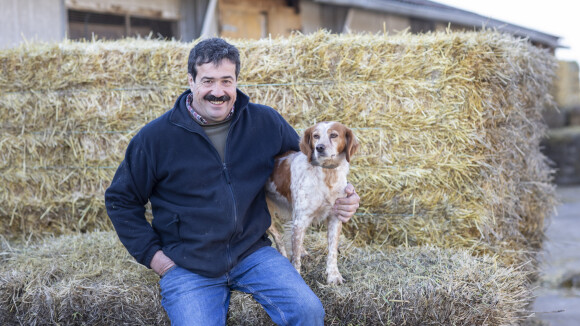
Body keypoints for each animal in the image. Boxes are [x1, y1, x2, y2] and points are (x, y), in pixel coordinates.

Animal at [266, 121, 358, 284]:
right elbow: (295, 257)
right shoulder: (301, 220)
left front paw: (333, 275)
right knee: (278, 236)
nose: (319, 147)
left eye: (334, 135)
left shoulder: (335, 217)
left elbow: (332, 251)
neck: (327, 175)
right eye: (316, 136)